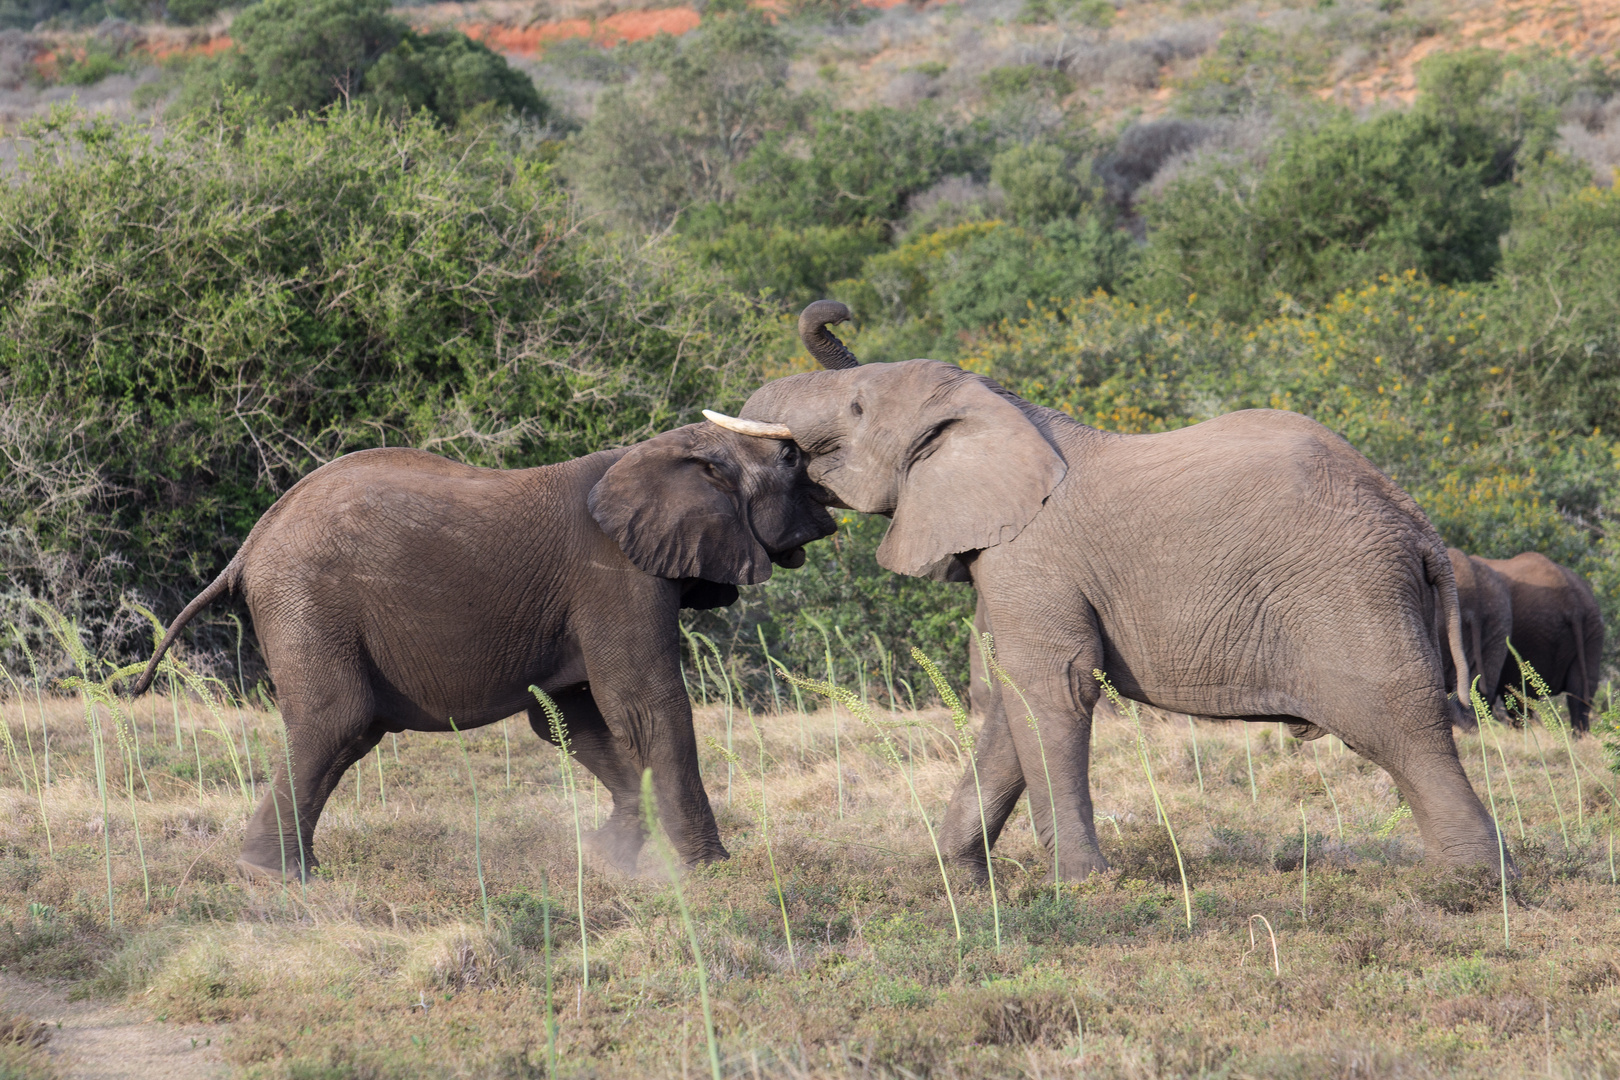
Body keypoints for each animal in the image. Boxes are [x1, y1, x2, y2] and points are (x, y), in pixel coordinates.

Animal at [129, 420, 835, 880]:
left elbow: (568, 715)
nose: (833, 513)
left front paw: (605, 858)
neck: (666, 450)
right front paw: (710, 874)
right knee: (338, 721)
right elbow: (644, 705)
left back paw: (288, 871)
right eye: (791, 459)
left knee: (344, 734)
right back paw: (272, 878)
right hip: (307, 600)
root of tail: (249, 545)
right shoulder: (617, 575)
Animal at [709, 299, 1503, 880]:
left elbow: (1052, 687)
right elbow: (1009, 700)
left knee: (1398, 722)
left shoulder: (1032, 554)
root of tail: (1415, 519)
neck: (1004, 409)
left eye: (856, 410)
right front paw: (956, 878)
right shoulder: (1010, 564)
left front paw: (1083, 884)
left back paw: (1470, 884)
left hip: (1349, 589)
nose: (841, 310)